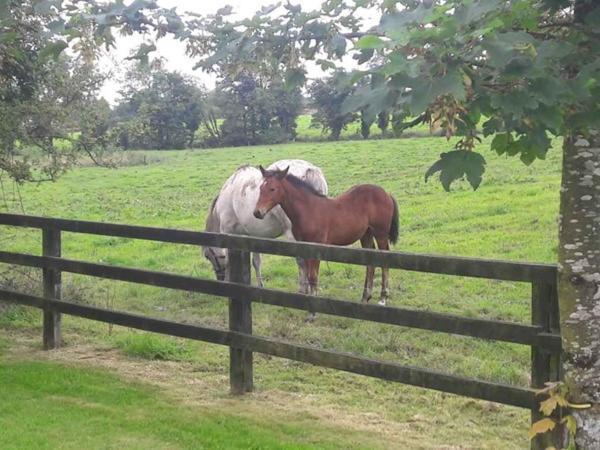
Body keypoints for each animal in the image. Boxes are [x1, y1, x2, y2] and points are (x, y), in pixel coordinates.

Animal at [203, 160, 328, 290]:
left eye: (207, 255)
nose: (220, 278)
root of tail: (310, 170)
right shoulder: (252, 235)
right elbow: (256, 262)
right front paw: (260, 285)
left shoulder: (227, 232)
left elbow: (229, 262)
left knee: (302, 262)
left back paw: (303, 290)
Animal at [253, 165, 398, 312]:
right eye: (261, 188)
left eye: (272, 189)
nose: (257, 212)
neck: (308, 209)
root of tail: (387, 194)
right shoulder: (304, 246)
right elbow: (309, 275)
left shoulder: (316, 246)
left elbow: (313, 276)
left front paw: (313, 308)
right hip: (366, 234)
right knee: (371, 263)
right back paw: (365, 297)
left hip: (380, 234)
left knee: (384, 261)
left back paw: (383, 298)